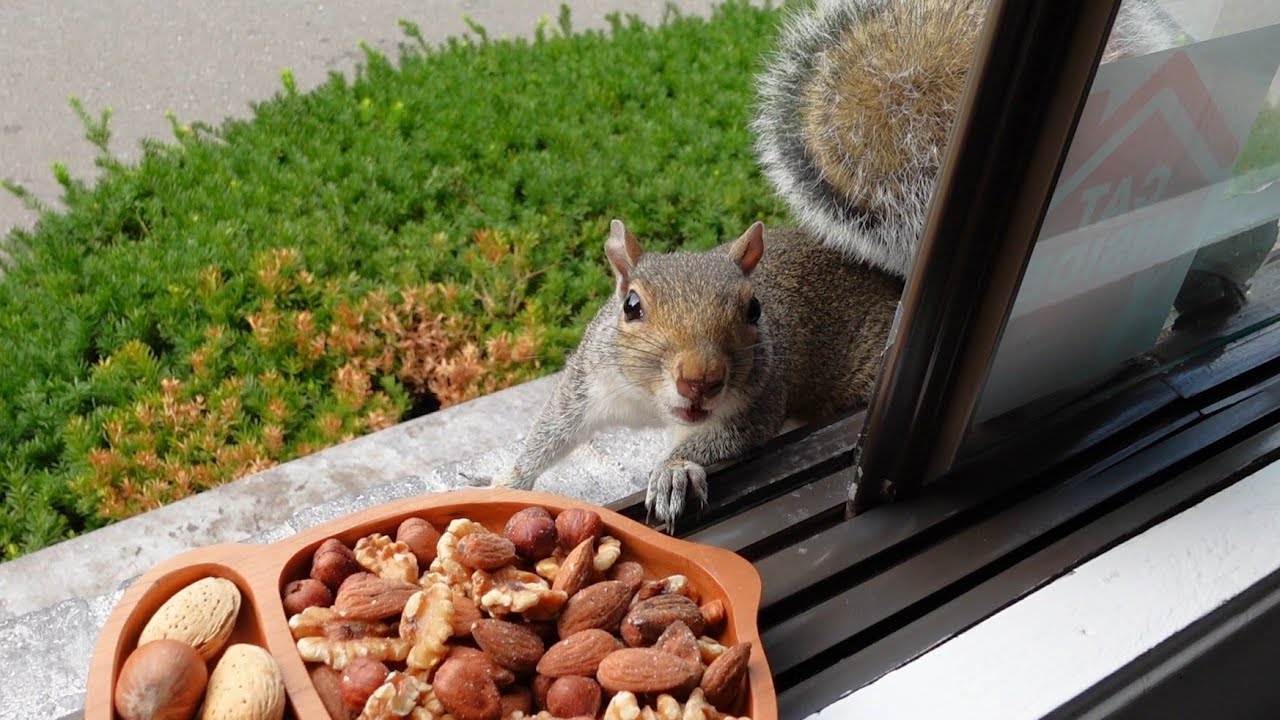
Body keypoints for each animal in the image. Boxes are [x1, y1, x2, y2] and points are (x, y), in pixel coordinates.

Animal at [490, 0, 1179, 525]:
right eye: (631, 306)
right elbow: (554, 427)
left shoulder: (763, 392)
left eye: (754, 310)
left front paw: (674, 469)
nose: (701, 378)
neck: (657, 406)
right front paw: (511, 478)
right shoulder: (593, 378)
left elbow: (728, 437)